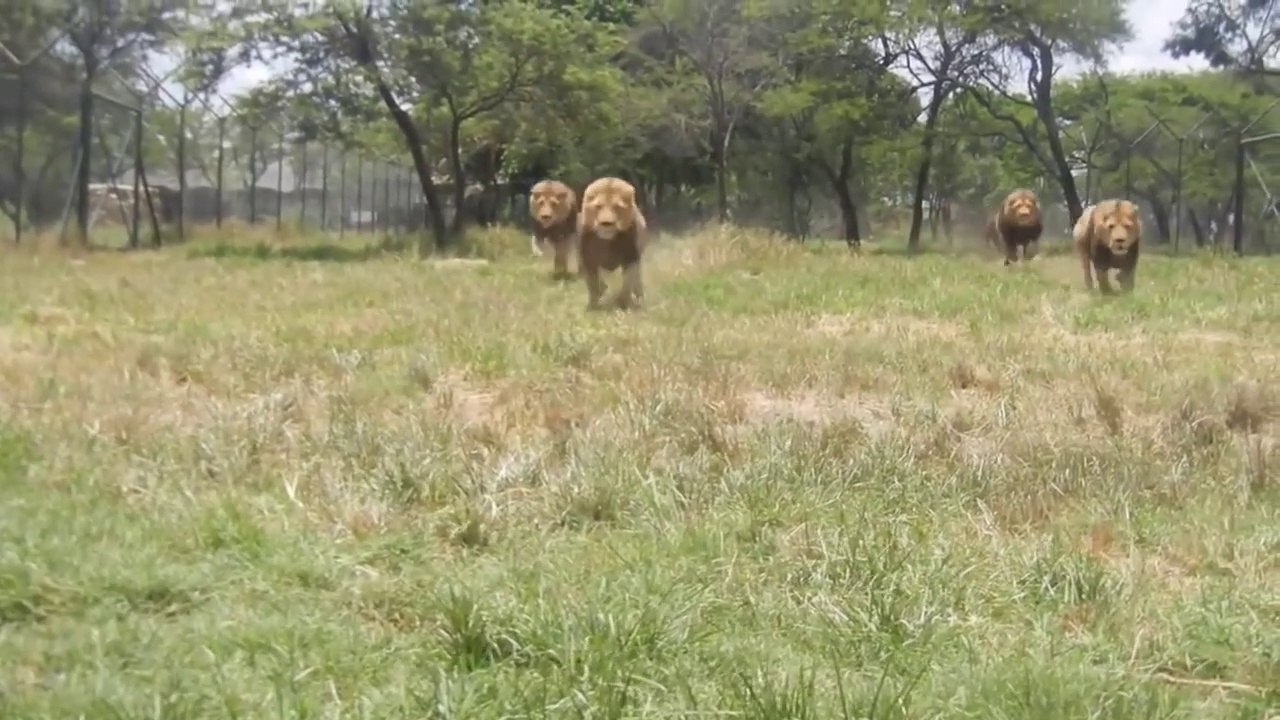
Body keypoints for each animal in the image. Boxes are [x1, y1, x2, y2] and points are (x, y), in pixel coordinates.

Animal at [577, 176, 647, 311]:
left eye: (617, 207)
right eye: (598, 206)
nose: (606, 223)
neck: (607, 240)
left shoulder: (631, 257)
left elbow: (627, 282)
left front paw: (623, 304)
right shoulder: (587, 258)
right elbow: (592, 285)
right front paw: (593, 306)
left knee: (637, 279)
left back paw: (638, 297)